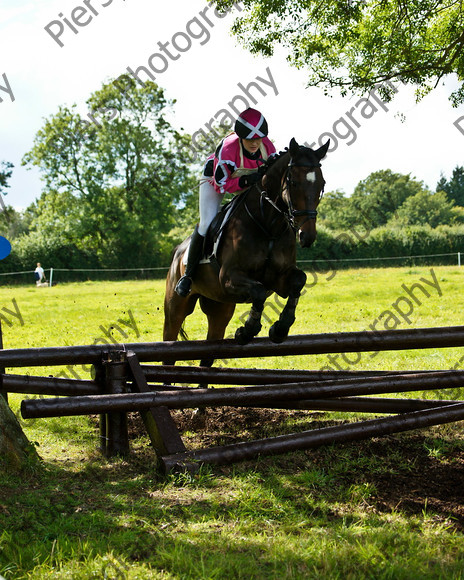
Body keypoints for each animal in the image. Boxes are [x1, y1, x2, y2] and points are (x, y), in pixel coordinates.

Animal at [163, 138, 330, 364]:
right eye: (294, 183)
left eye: (321, 185)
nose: (307, 236)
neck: (268, 226)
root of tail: (178, 251)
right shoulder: (229, 278)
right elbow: (258, 291)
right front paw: (246, 331)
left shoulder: (279, 279)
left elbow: (298, 280)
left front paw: (280, 329)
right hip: (176, 308)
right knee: (169, 344)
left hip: (220, 308)